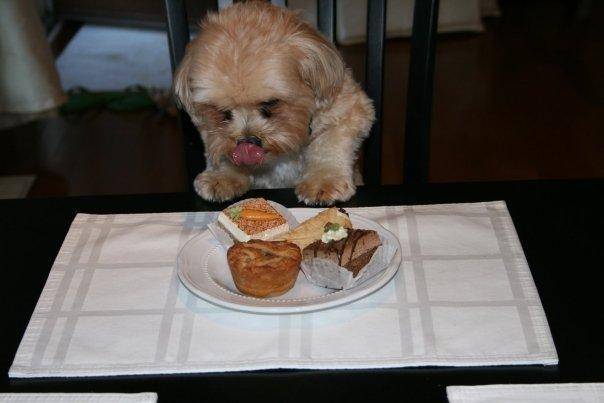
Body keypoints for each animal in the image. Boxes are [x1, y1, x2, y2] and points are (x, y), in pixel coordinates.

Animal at [173, 1, 374, 205]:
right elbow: (218, 146)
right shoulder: (211, 132)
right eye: (222, 111)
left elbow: (328, 145)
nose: (247, 142)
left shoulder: (348, 112)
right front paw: (223, 176)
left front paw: (323, 181)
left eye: (271, 103)